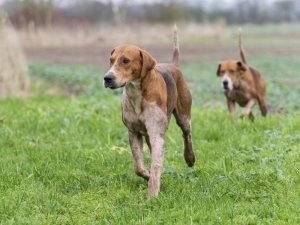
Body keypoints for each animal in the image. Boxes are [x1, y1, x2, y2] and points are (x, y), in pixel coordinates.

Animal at [103, 25, 196, 197]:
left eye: (126, 61)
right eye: (111, 60)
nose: (107, 78)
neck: (137, 94)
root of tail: (174, 65)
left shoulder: (156, 134)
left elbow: (156, 165)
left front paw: (152, 194)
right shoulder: (133, 133)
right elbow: (138, 167)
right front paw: (147, 175)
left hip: (183, 117)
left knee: (187, 135)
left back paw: (190, 158)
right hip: (147, 135)